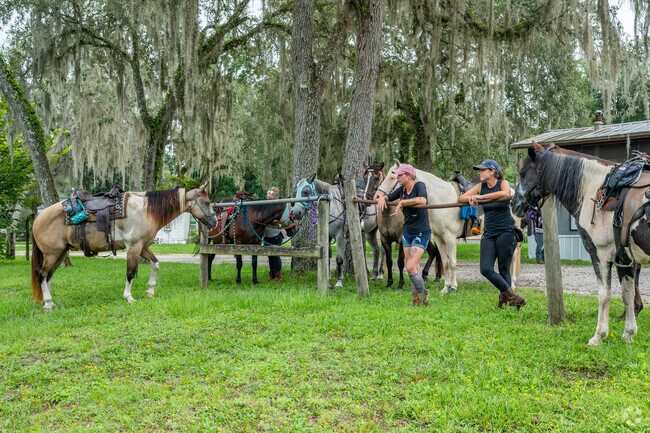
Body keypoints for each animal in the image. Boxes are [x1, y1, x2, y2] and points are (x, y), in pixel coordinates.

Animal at [31, 183, 217, 310]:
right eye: (206, 203)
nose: (214, 222)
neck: (145, 211)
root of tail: (39, 217)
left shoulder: (144, 246)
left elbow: (156, 264)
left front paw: (150, 291)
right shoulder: (134, 247)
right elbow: (130, 273)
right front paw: (129, 297)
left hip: (60, 253)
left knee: (48, 275)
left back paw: (49, 301)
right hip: (51, 254)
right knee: (42, 273)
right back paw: (48, 303)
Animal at [513, 143, 646, 345]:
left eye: (522, 173)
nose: (513, 205)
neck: (595, 189)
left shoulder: (600, 254)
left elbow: (604, 295)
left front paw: (598, 336)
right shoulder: (624, 258)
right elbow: (627, 293)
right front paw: (629, 333)